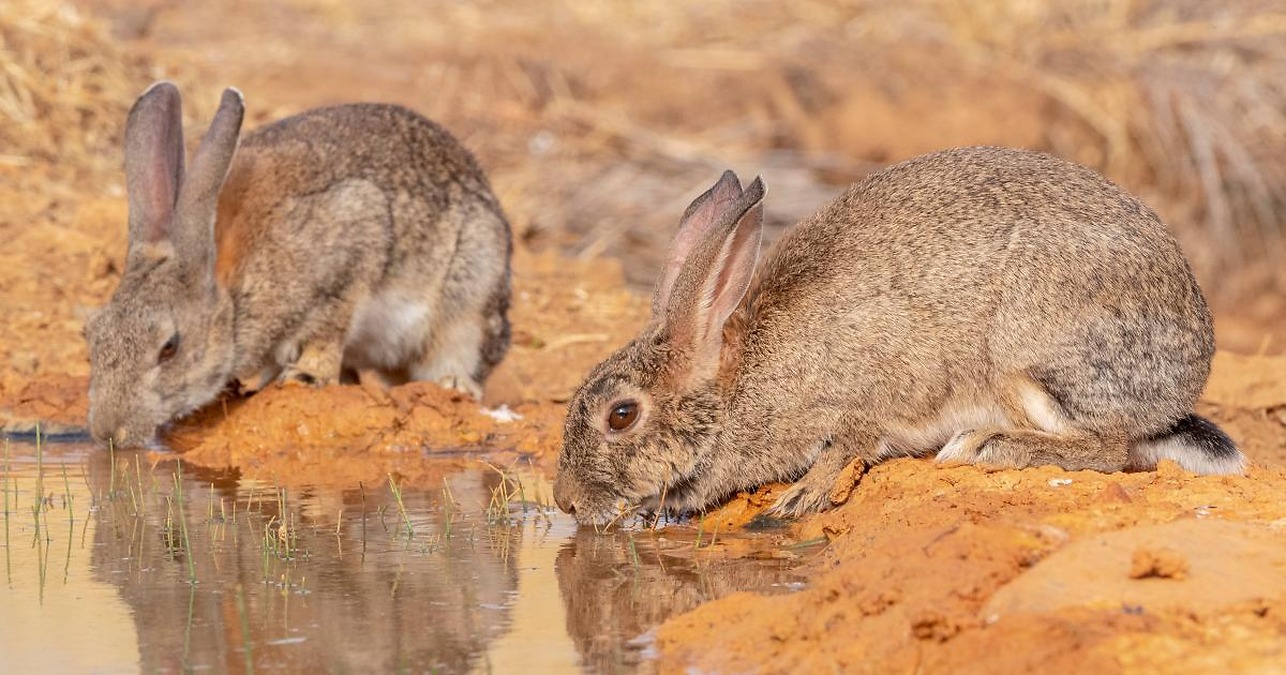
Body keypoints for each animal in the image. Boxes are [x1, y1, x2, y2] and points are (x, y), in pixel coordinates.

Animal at [85, 81, 512, 448]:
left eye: (169, 348)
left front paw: (306, 377)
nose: (108, 432)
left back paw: (453, 385)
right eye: (91, 335)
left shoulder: (351, 250)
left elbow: (327, 332)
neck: (232, 294)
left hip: (471, 293)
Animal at [553, 147, 1245, 525]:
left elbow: (846, 444)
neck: (740, 384)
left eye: (621, 415)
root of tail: (1184, 378)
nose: (563, 504)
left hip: (1027, 358)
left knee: (1108, 449)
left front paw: (799, 497)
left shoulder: (868, 389)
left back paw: (987, 446)